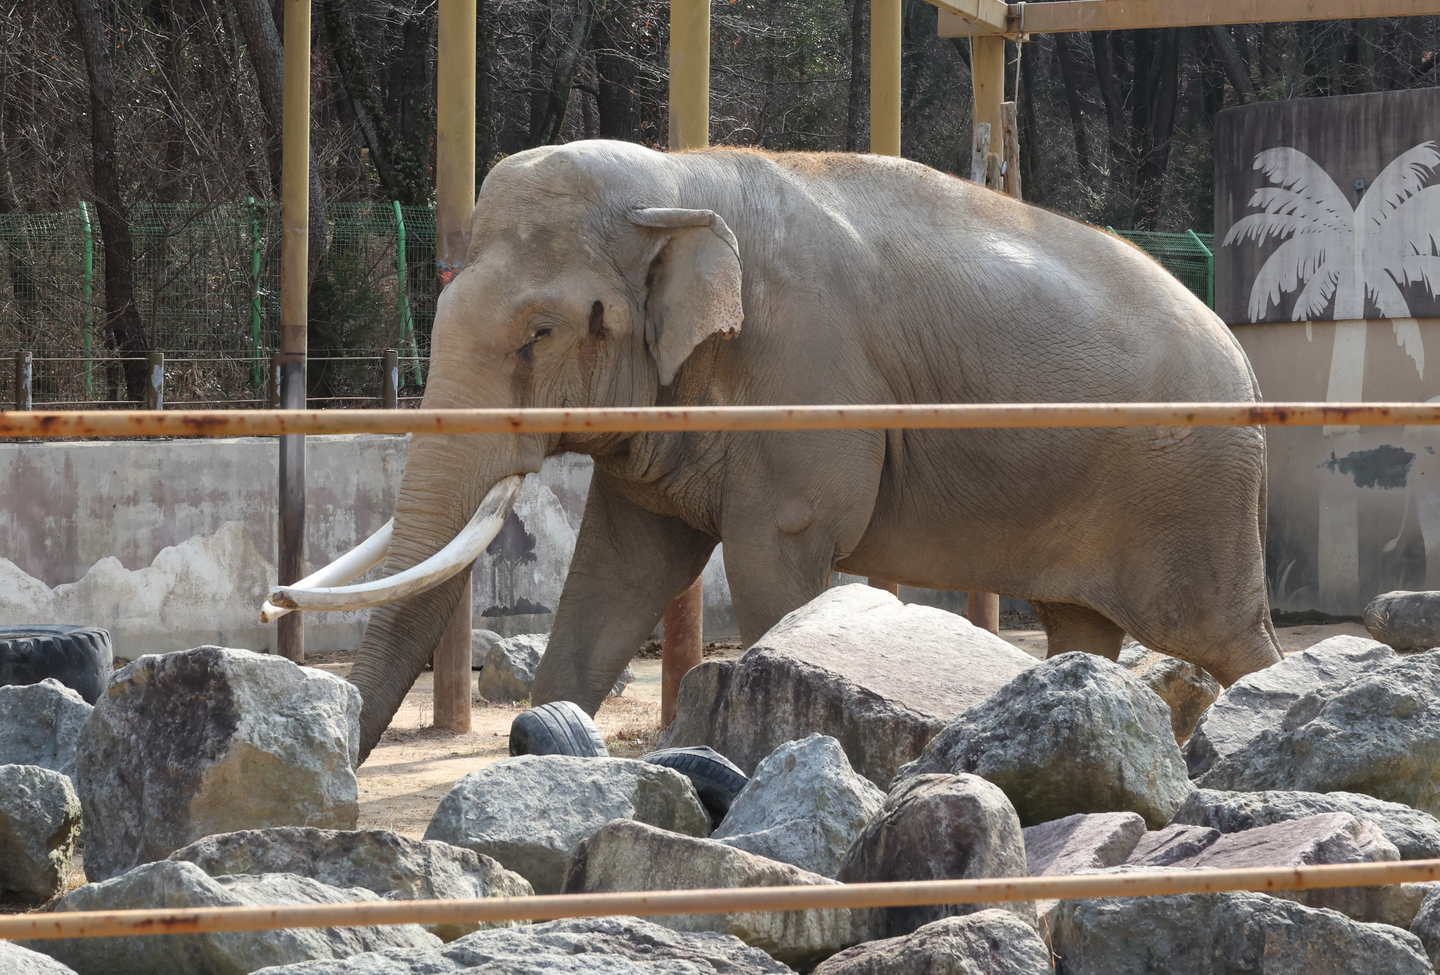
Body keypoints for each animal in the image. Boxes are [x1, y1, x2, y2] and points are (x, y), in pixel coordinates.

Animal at [274, 139, 1284, 762]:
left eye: (540, 332)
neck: (675, 181)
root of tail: (1240, 355)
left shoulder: (805, 383)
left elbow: (774, 568)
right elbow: (617, 567)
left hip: (1192, 491)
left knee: (1224, 635)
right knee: (1081, 628)